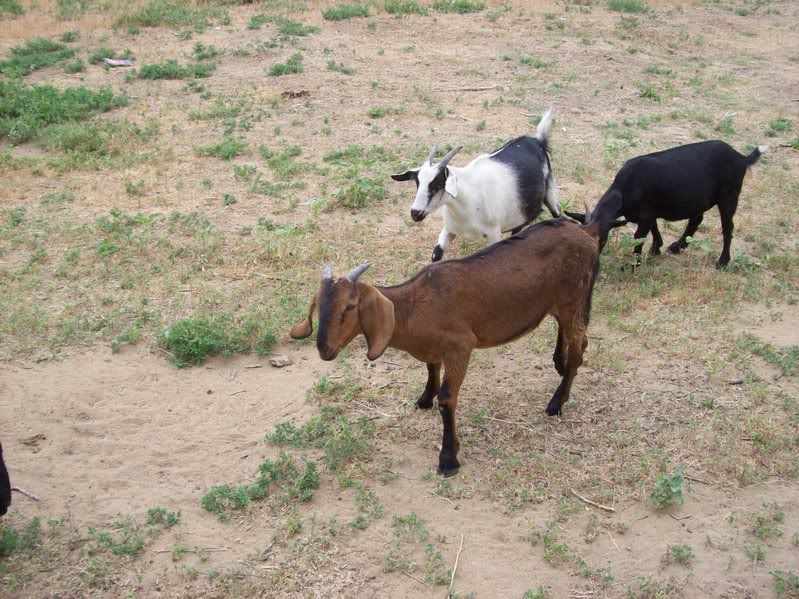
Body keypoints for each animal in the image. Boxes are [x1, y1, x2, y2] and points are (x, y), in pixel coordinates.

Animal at [290, 195, 622, 475]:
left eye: (349, 307)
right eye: (318, 306)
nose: (324, 348)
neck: (412, 306)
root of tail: (588, 231)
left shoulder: (461, 346)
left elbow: (448, 400)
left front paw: (448, 458)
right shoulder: (434, 349)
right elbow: (430, 368)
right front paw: (424, 398)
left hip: (575, 297)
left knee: (580, 344)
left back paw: (556, 402)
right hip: (561, 303)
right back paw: (559, 365)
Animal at [391, 109, 561, 262]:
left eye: (438, 184)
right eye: (417, 183)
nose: (415, 213)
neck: (468, 200)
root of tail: (537, 141)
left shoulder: (493, 234)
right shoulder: (449, 229)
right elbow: (436, 255)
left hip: (550, 192)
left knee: (557, 213)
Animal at [571, 140, 767, 269]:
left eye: (602, 240)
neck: (624, 189)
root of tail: (741, 158)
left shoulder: (645, 214)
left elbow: (639, 237)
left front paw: (634, 264)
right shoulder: (650, 213)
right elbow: (654, 227)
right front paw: (657, 247)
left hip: (729, 197)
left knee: (728, 227)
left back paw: (723, 261)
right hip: (698, 199)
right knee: (696, 219)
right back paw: (678, 246)